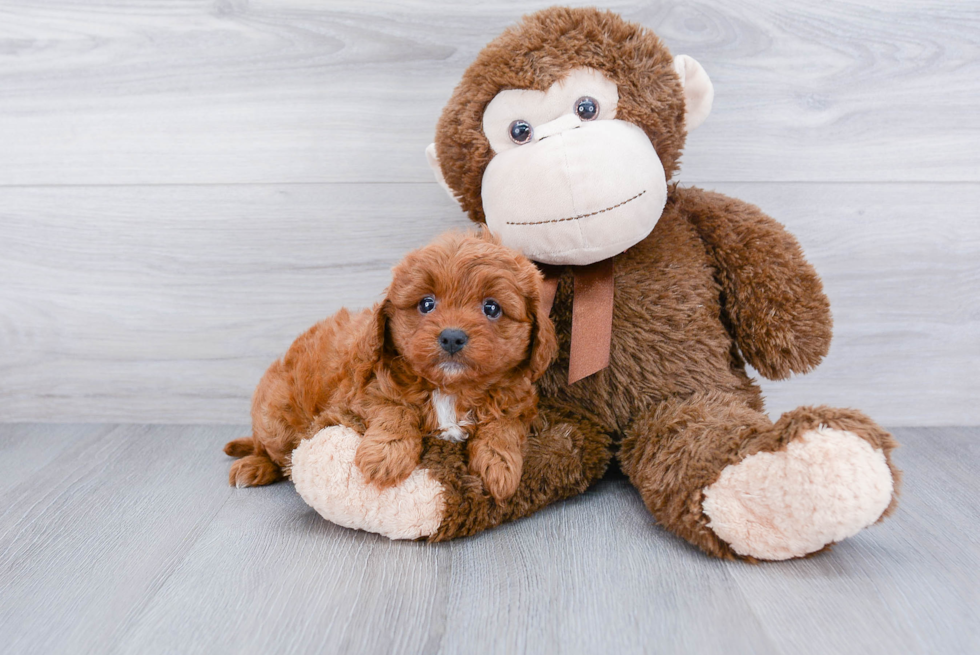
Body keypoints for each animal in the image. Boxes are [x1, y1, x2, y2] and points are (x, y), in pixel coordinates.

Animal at [224, 231, 560, 502]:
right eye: (426, 304)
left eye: (491, 308)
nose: (452, 337)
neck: (450, 389)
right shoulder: (356, 396)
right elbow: (394, 408)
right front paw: (386, 455)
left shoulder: (519, 402)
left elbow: (504, 425)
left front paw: (499, 465)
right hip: (275, 419)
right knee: (270, 449)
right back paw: (252, 466)